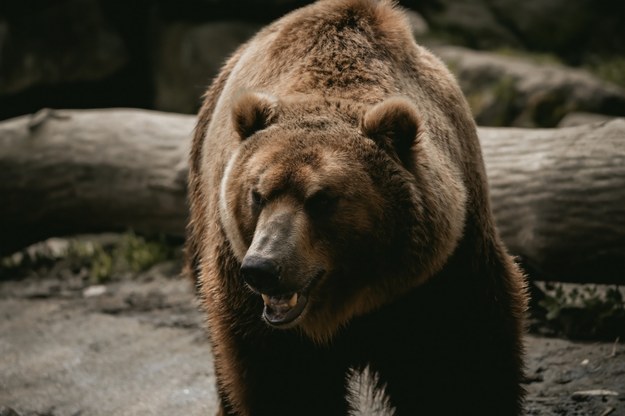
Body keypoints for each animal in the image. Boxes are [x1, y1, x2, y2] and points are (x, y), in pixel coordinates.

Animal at [185, 0, 528, 416]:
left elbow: (464, 358)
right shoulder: (251, 302)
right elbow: (282, 379)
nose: (263, 268)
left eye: (321, 199)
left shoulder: (446, 261)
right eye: (258, 194)